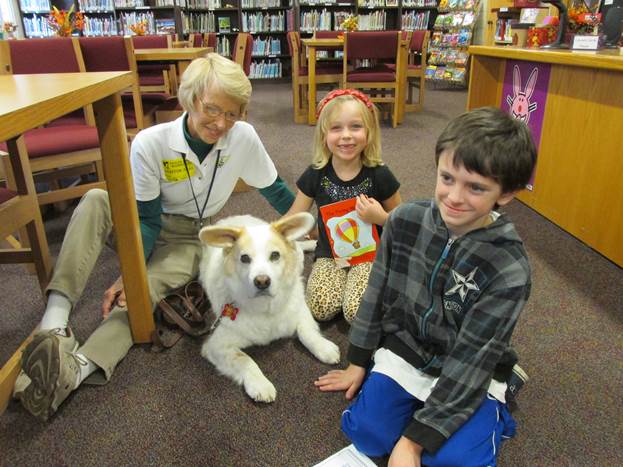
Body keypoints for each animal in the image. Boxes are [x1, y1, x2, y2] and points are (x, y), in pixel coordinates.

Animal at [199, 214, 342, 404]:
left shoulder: (299, 308)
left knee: (299, 247)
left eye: (275, 255)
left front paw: (323, 347)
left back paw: (311, 244)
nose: (262, 281)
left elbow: (307, 333)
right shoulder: (216, 345)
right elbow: (245, 360)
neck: (265, 307)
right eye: (244, 258)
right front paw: (260, 384)